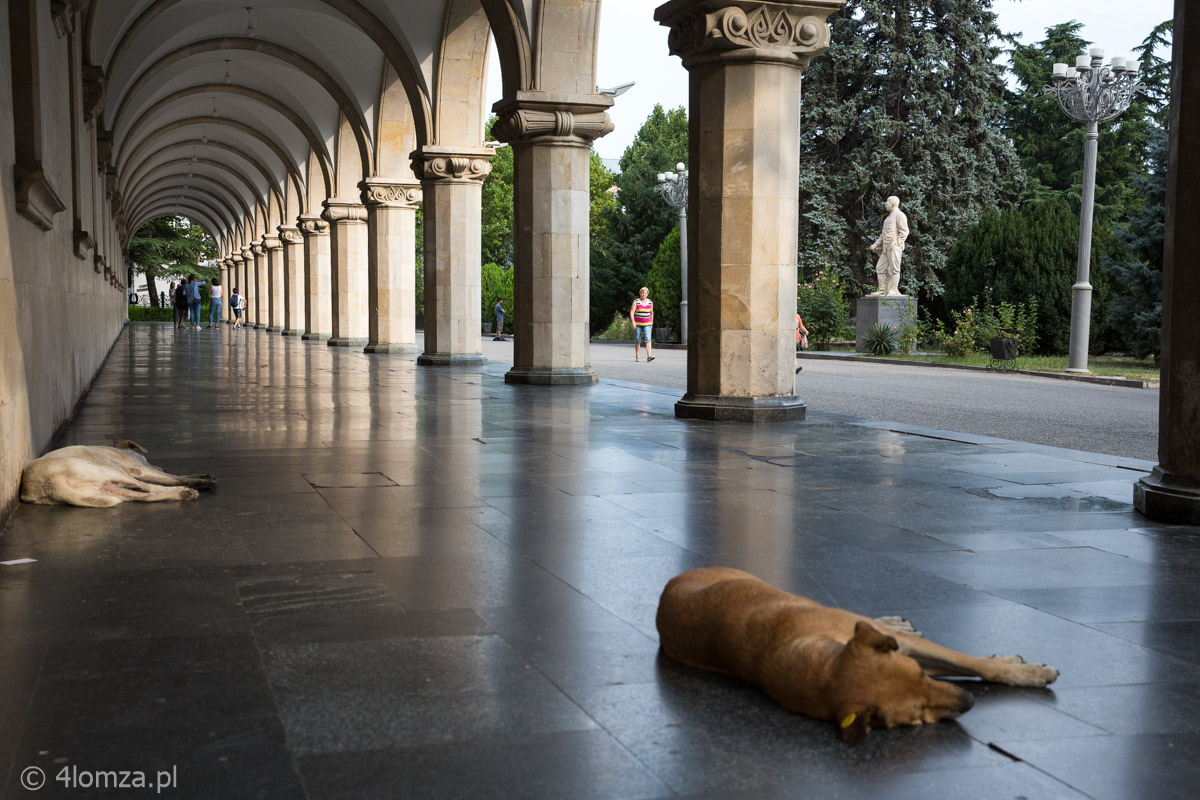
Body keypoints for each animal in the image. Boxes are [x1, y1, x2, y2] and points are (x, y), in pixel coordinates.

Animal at [21, 438, 218, 506]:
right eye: (146, 459)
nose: (160, 467)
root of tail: (48, 484)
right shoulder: (140, 469)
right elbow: (174, 478)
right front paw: (200, 480)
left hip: (104, 489)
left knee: (145, 496)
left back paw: (183, 494)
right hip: (105, 470)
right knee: (149, 487)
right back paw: (186, 490)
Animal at [657, 568, 1060, 743]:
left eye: (920, 674)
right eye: (919, 714)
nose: (970, 701)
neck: (822, 668)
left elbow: (970, 661)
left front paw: (1022, 672)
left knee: (871, 621)